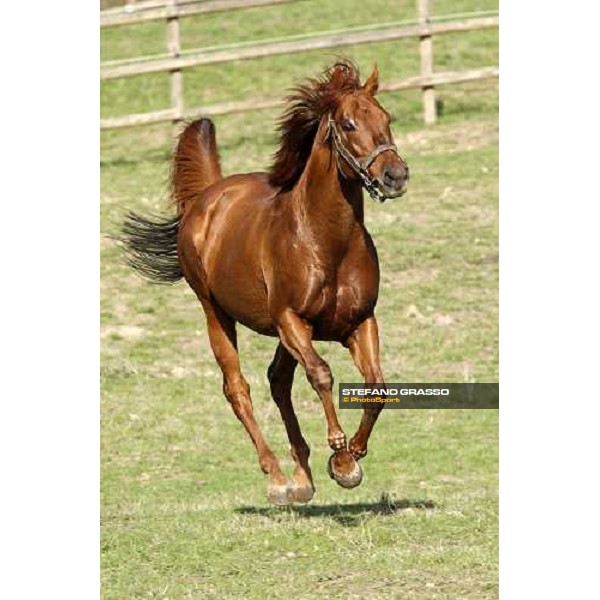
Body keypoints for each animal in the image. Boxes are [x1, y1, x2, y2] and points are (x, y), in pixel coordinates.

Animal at [124, 61, 410, 504]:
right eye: (348, 124)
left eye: (387, 118)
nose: (396, 176)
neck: (325, 240)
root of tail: (207, 197)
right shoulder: (292, 321)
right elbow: (321, 374)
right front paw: (342, 458)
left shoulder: (360, 321)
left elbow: (376, 385)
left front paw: (351, 457)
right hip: (217, 313)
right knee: (237, 388)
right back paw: (276, 477)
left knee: (277, 381)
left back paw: (302, 477)